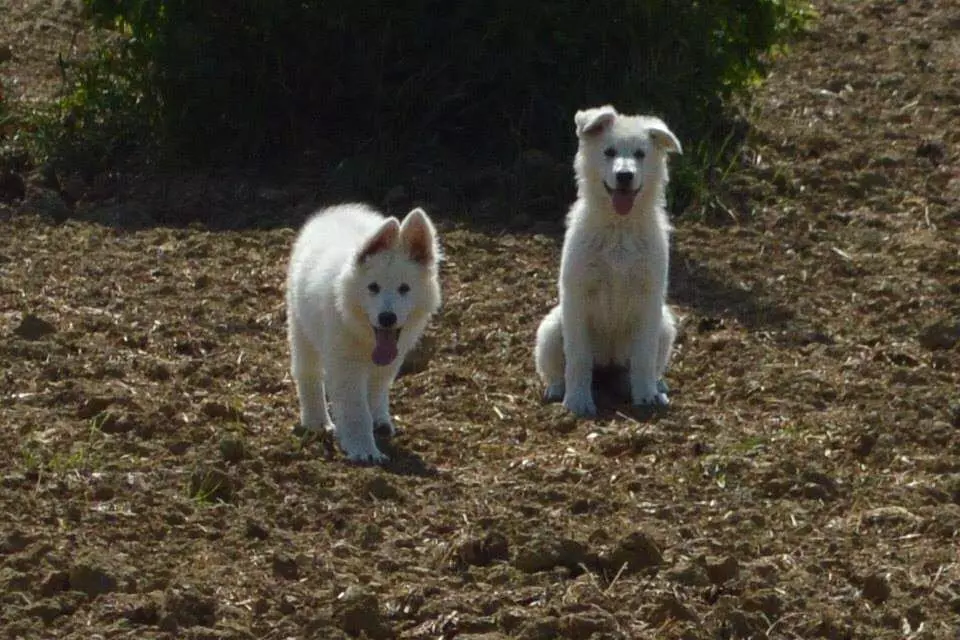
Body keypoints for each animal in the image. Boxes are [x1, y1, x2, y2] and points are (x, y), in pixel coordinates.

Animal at [532, 106, 684, 416]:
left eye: (640, 154)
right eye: (609, 152)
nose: (625, 175)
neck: (619, 228)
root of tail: (608, 367)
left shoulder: (649, 299)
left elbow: (643, 358)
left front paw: (646, 398)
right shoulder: (578, 295)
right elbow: (578, 359)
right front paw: (578, 402)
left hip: (665, 325)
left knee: (643, 367)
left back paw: (654, 388)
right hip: (551, 329)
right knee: (558, 369)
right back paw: (557, 389)